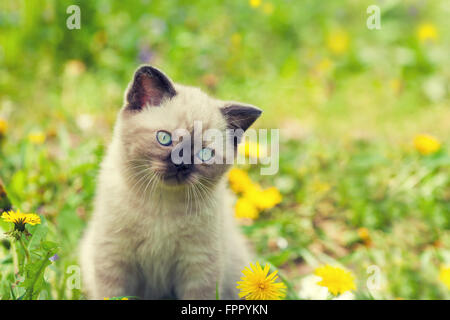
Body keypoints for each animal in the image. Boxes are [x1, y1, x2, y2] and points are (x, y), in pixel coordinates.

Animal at [79, 65, 262, 300]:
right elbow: (112, 294)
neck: (161, 203)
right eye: (164, 139)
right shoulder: (114, 257)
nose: (181, 164)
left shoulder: (198, 267)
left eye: (204, 154)